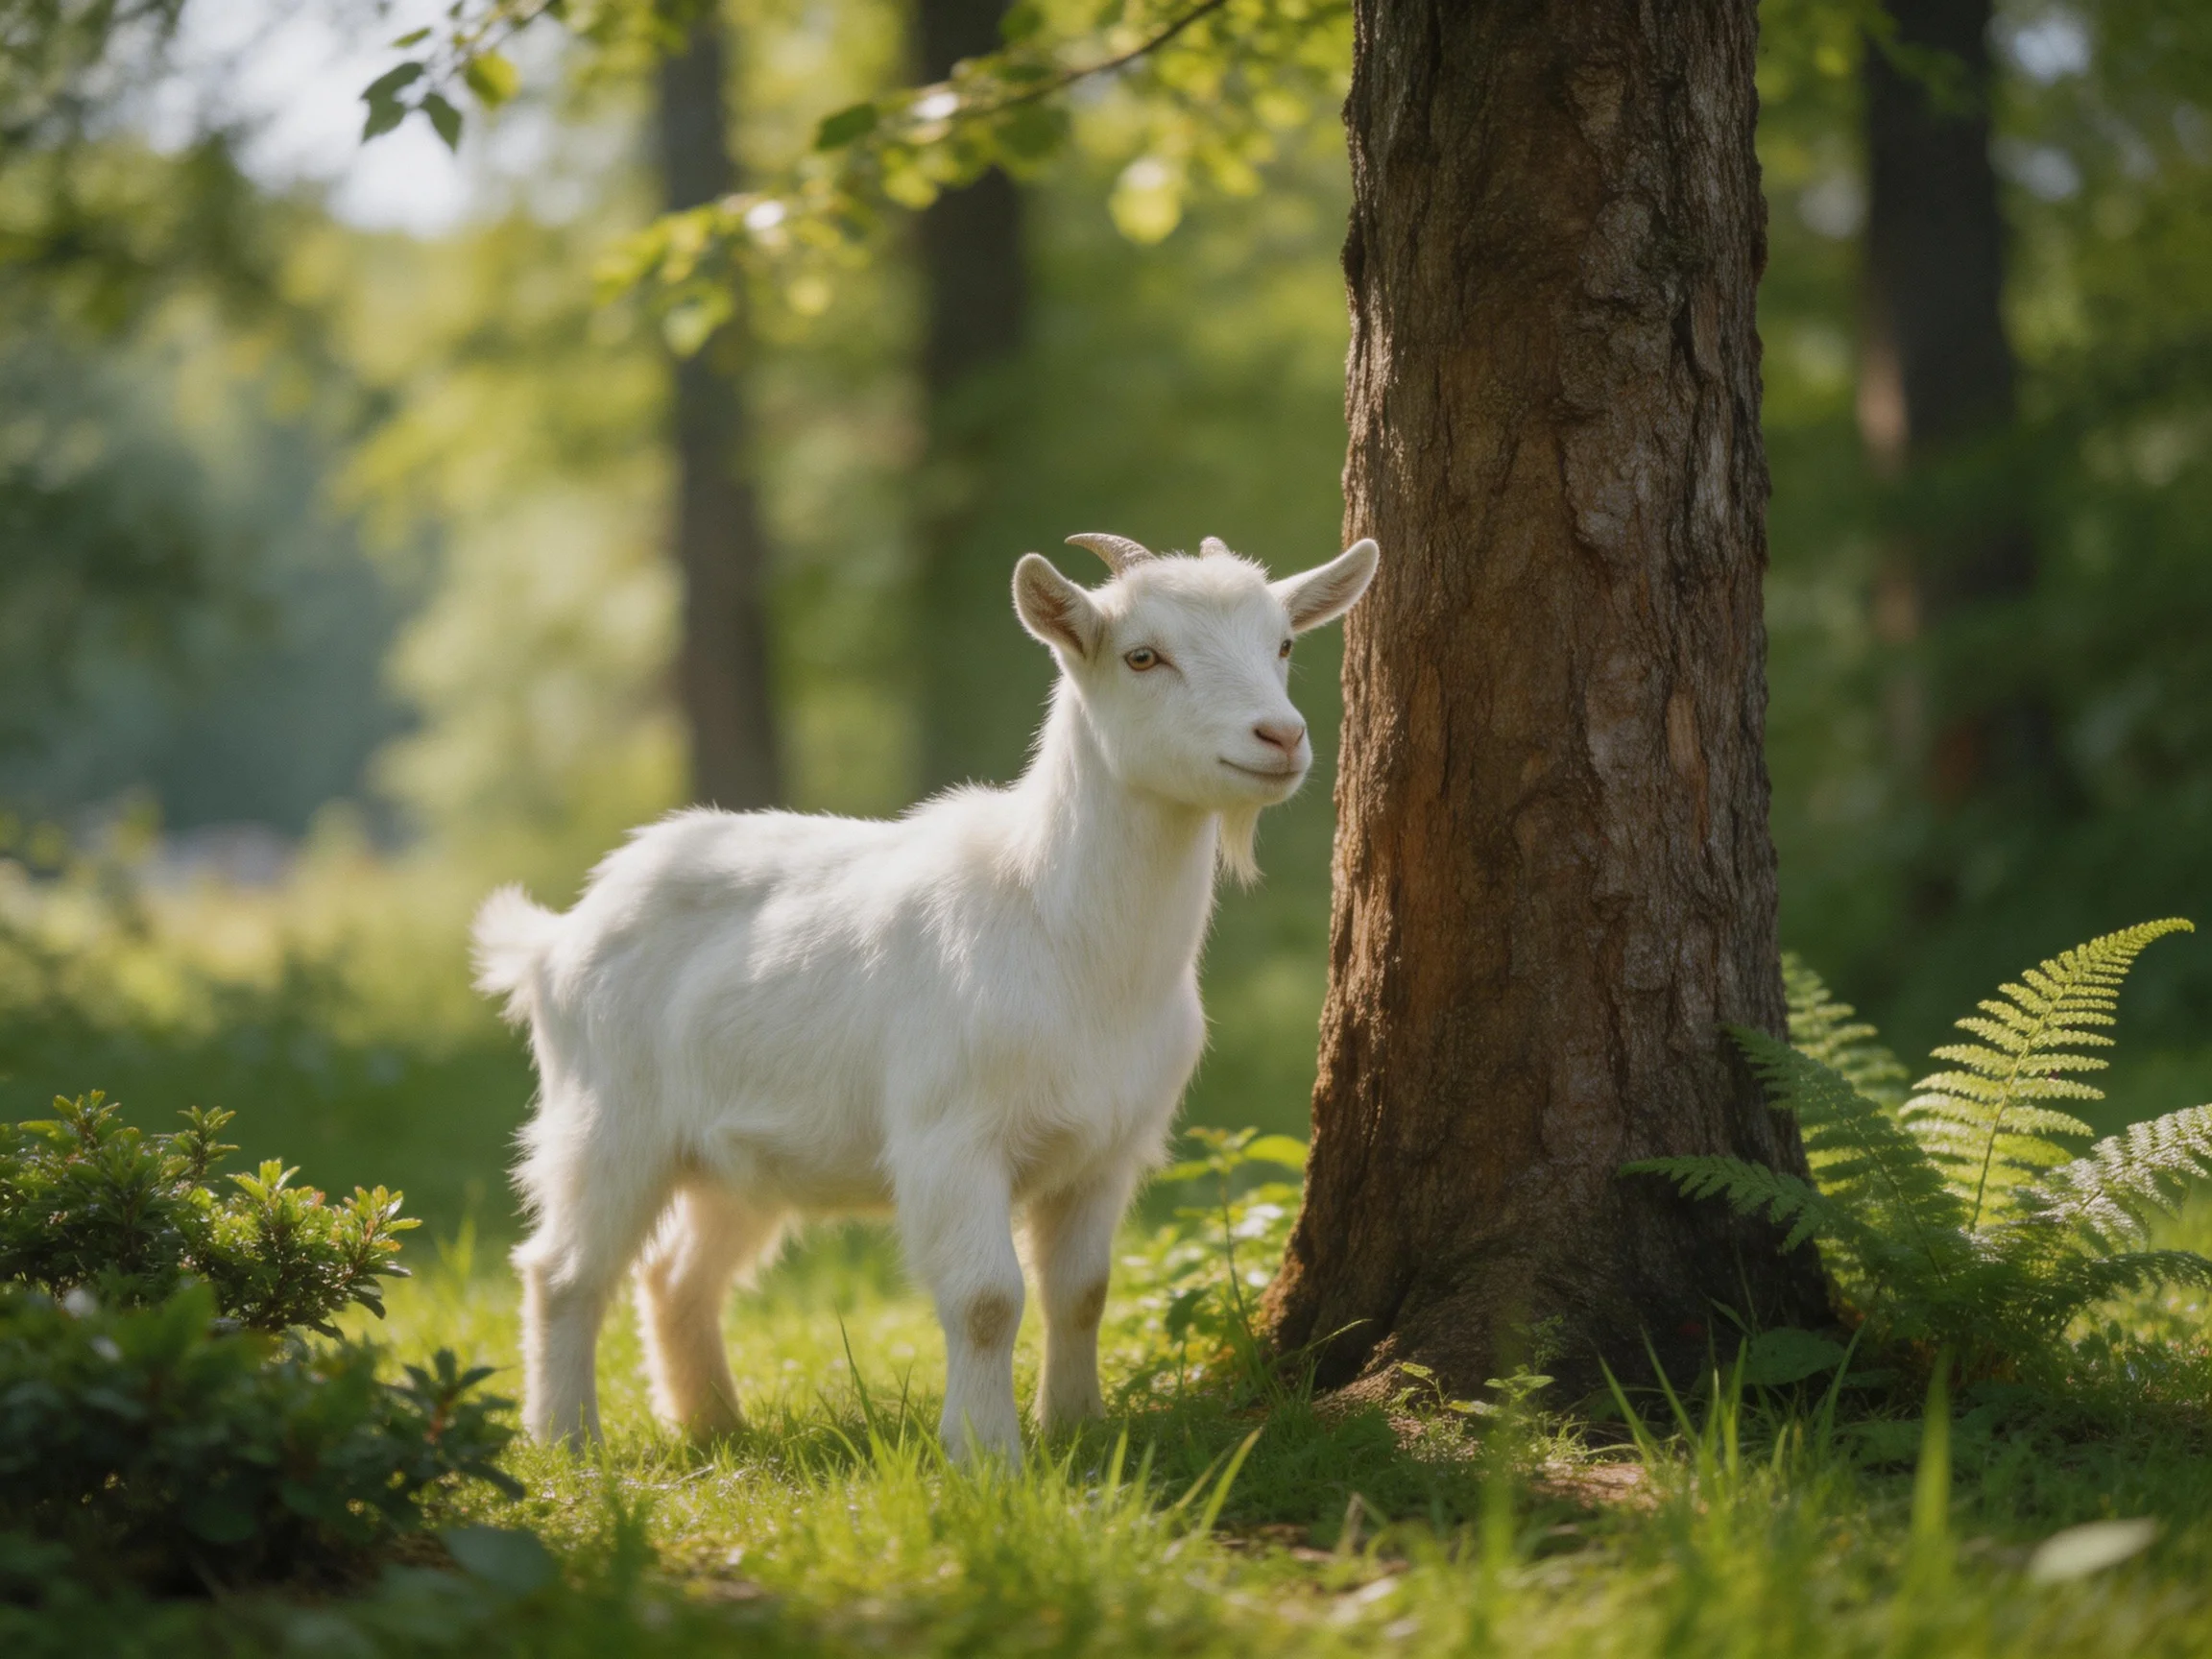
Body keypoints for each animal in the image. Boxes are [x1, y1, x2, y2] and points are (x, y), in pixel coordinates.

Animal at [471, 531, 1379, 1460]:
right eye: (1142, 655)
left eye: (1284, 644)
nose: (1280, 735)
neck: (1063, 930)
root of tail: (556, 937)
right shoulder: (953, 1138)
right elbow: (986, 1301)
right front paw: (987, 1455)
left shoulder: (1105, 1150)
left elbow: (1083, 1292)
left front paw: (1078, 1427)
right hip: (608, 1120)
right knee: (563, 1270)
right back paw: (566, 1439)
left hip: (732, 1157)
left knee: (677, 1274)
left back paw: (714, 1425)